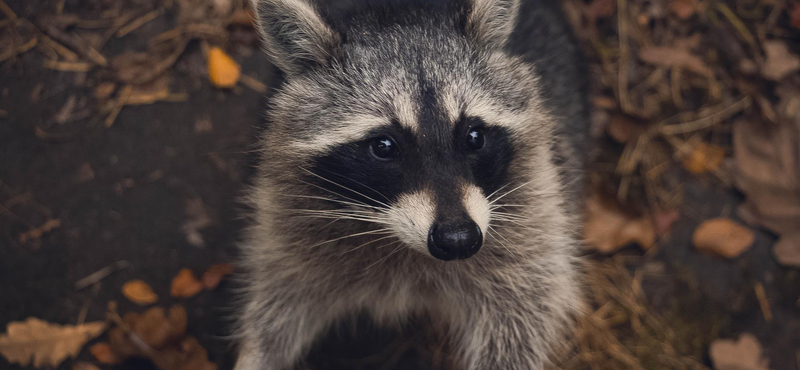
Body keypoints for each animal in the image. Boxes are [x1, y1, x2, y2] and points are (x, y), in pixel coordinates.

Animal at [234, 0, 592, 368]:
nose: (458, 239)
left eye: (474, 137)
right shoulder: (290, 217)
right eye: (383, 146)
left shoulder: (533, 205)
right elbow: (277, 304)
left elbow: (522, 315)